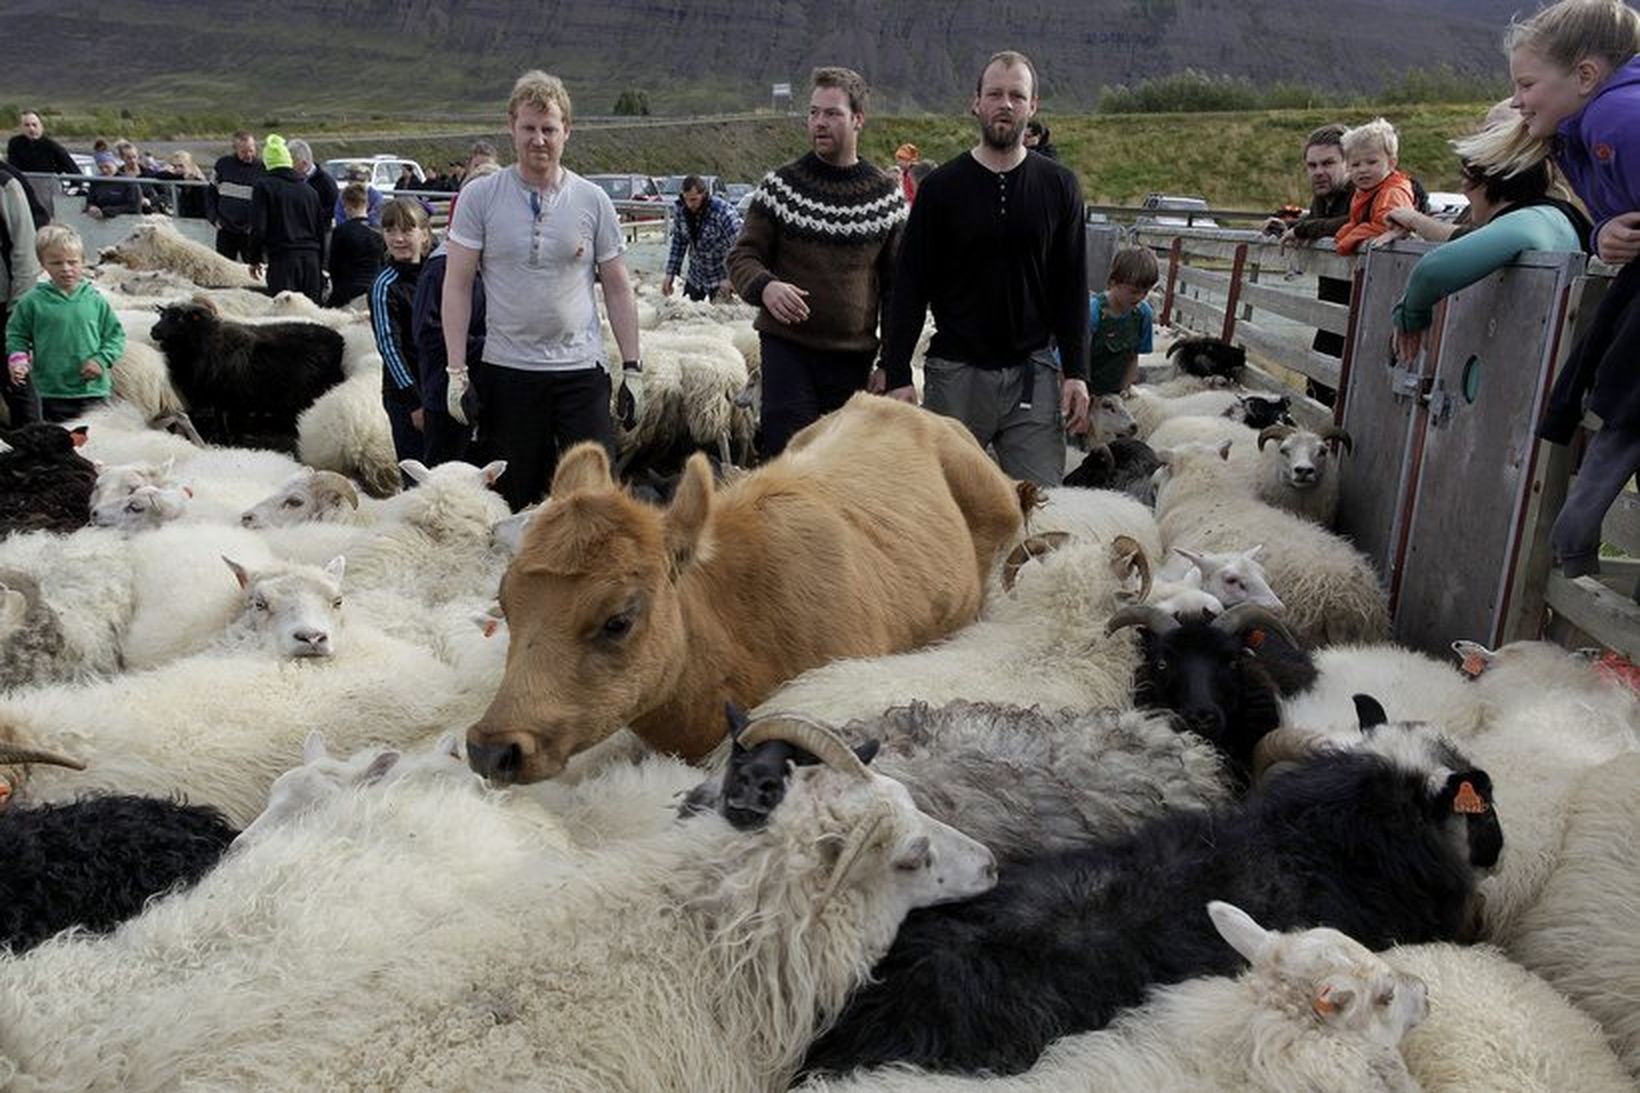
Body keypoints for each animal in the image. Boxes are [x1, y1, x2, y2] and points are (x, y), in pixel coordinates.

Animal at [152, 298, 347, 446]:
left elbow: (233, 422)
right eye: (162, 315)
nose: (153, 330)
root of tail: (338, 338)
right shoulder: (218, 396)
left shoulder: (235, 396)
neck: (207, 341)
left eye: (179, 319)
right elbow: (219, 418)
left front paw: (232, 440)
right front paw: (222, 437)